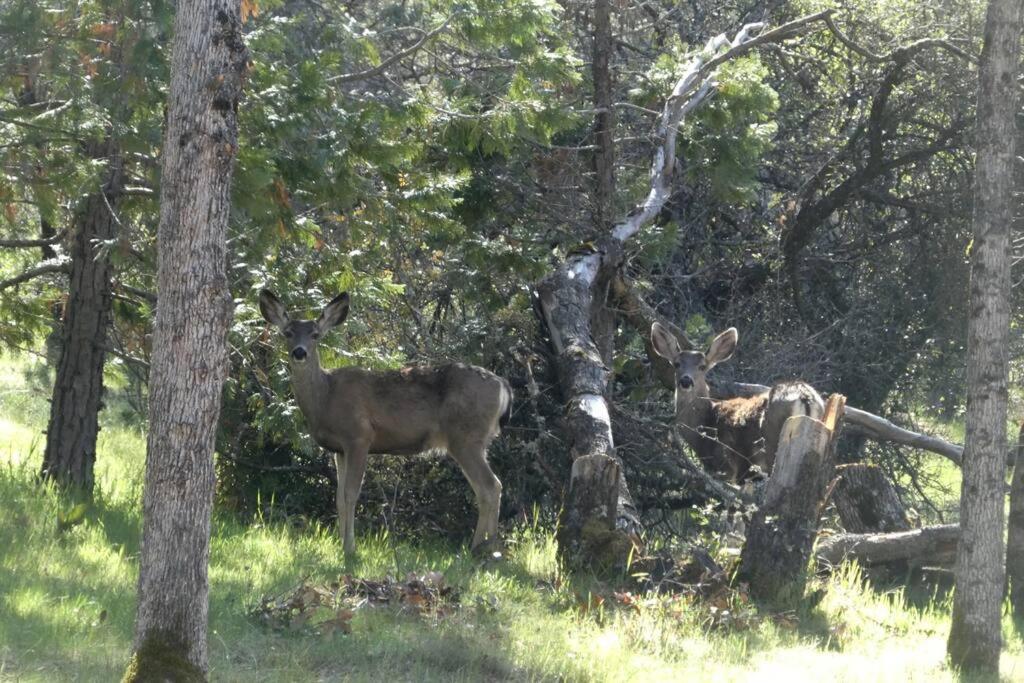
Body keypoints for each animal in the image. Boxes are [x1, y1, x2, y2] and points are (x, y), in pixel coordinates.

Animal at [258, 290, 509, 557]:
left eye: (315, 334)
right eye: (287, 333)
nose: (299, 352)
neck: (326, 398)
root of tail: (503, 385)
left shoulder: (359, 436)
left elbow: (351, 494)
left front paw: (350, 548)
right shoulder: (339, 449)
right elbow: (338, 498)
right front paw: (340, 542)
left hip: (466, 437)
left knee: (491, 486)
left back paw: (484, 549)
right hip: (475, 440)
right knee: (487, 488)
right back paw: (483, 547)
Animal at [647, 325, 823, 481]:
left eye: (702, 366)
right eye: (676, 364)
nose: (685, 381)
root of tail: (805, 397)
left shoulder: (726, 467)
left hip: (772, 444)